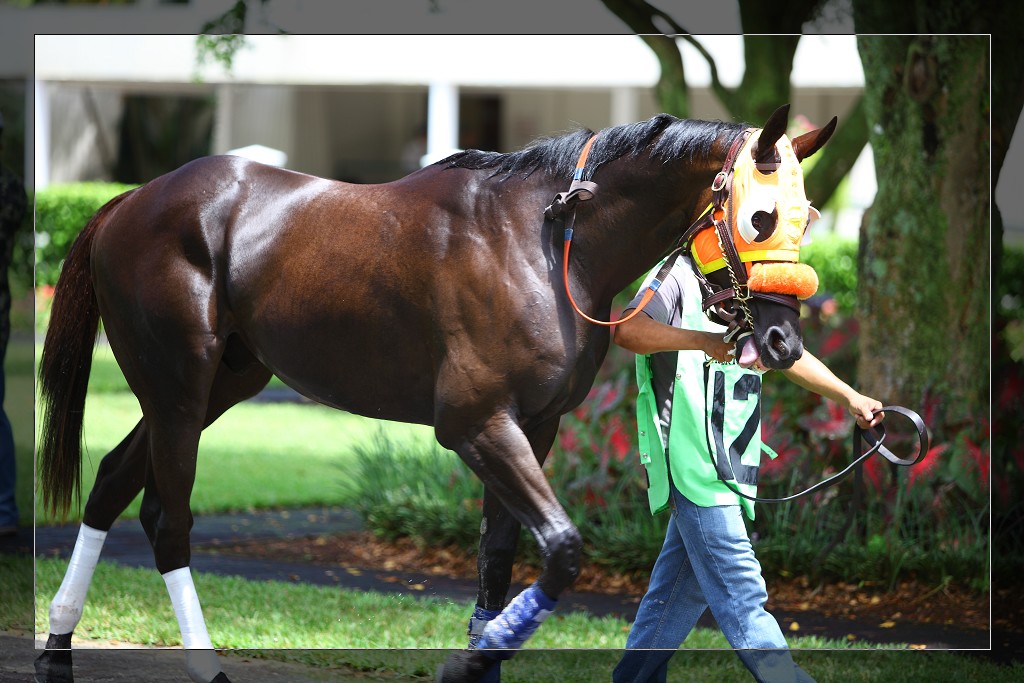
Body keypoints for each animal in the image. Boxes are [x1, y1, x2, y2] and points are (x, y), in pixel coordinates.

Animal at [37, 102, 831, 683]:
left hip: (219, 383)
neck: (548, 239)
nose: (784, 340)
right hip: (178, 385)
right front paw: (470, 661)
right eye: (761, 217)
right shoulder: (476, 424)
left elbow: (498, 556)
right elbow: (563, 548)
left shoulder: (534, 424)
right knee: (166, 518)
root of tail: (126, 203)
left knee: (111, 481)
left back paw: (57, 647)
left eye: (807, 217)